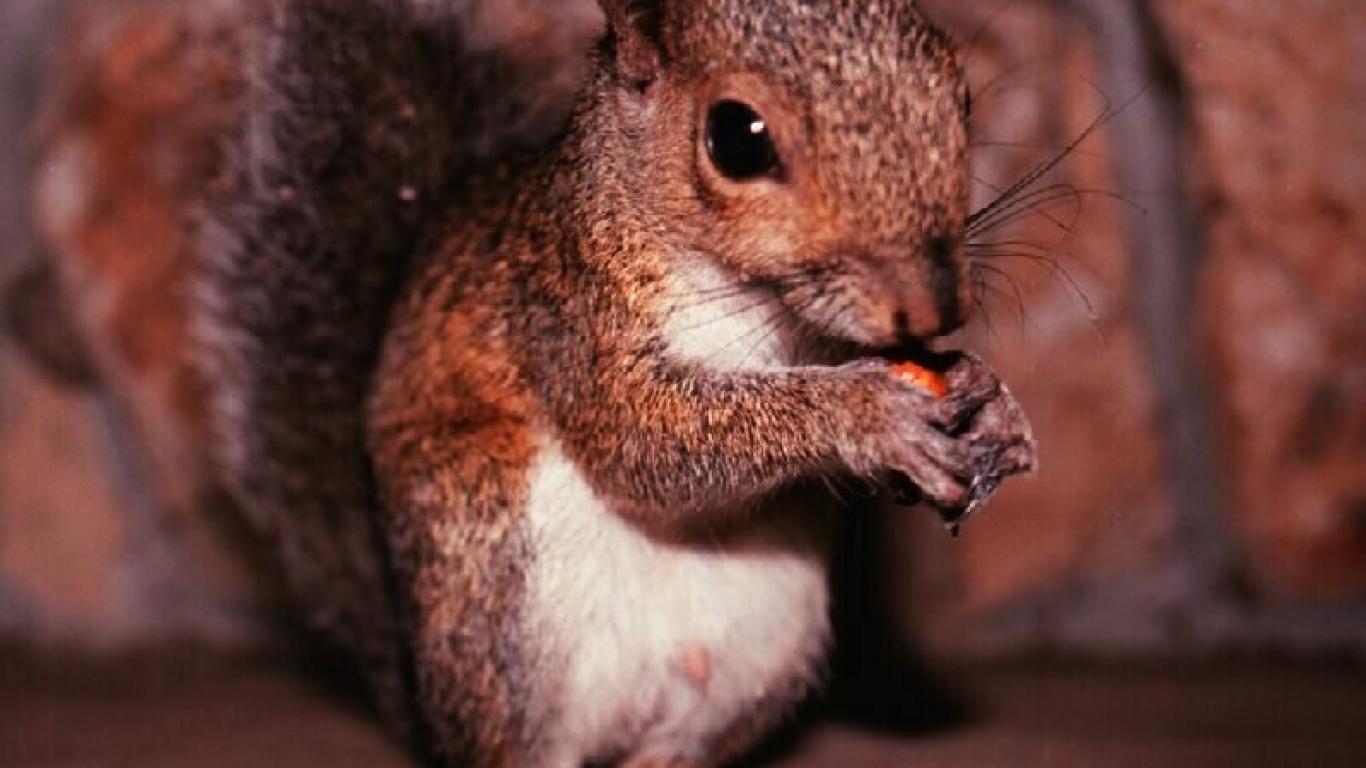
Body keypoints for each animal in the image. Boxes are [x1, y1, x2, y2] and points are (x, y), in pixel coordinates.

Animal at [195, 0, 1037, 765]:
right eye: (737, 138)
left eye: (961, 96)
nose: (933, 305)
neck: (762, 310)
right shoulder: (565, 312)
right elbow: (643, 443)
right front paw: (865, 411)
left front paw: (988, 408)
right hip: (496, 592)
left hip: (764, 648)